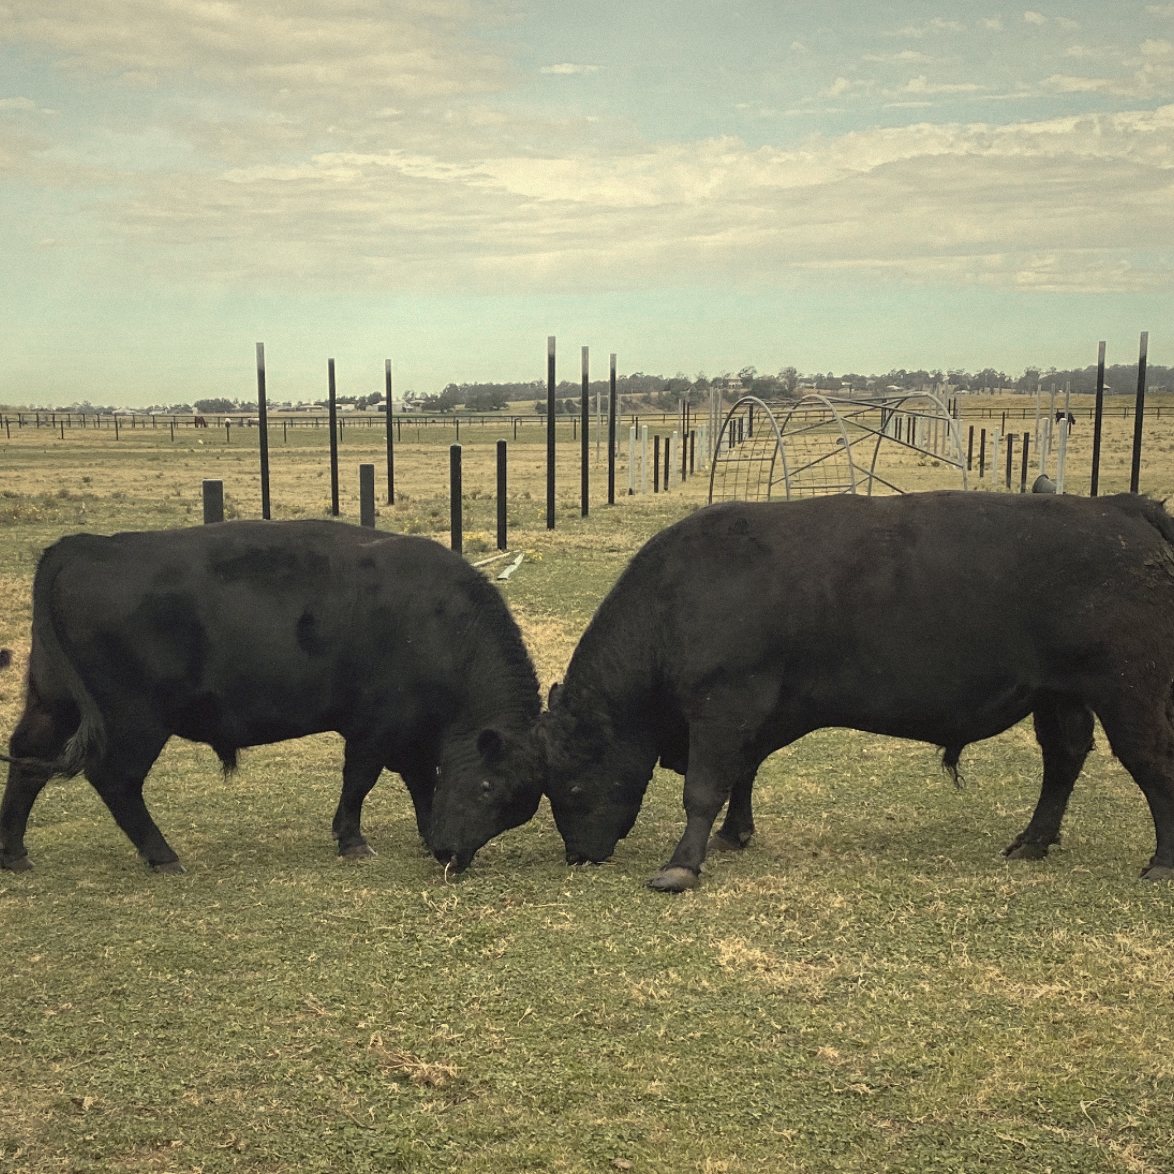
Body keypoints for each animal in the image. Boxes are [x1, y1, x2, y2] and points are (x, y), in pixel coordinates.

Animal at [1, 520, 544, 874]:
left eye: (513, 807)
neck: (441, 621)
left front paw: (426, 831)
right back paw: (163, 856)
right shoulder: (374, 727)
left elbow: (421, 783)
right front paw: (352, 840)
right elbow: (360, 780)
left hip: (54, 703)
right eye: (488, 787)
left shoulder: (415, 735)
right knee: (115, 779)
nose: (453, 855)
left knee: (27, 759)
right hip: (134, 721)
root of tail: (83, 546)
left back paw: (14, 853)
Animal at [539, 492, 1174, 891]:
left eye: (569, 782)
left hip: (1129, 690)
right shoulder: (755, 716)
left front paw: (680, 866)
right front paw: (733, 835)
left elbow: (703, 788)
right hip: (1060, 693)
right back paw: (1033, 840)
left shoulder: (723, 706)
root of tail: (1116, 506)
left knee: (1150, 761)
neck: (678, 595)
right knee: (1063, 758)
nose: (579, 856)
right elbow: (741, 775)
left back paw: (1161, 863)